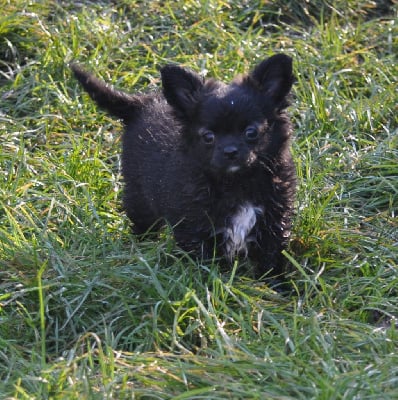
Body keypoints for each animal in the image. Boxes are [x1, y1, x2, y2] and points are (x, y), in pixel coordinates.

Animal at [70, 54, 296, 276]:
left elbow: (271, 262)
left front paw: (277, 285)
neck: (236, 183)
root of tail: (141, 104)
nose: (230, 151)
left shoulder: (274, 223)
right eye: (208, 137)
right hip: (139, 198)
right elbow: (206, 264)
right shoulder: (194, 229)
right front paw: (212, 281)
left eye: (251, 132)